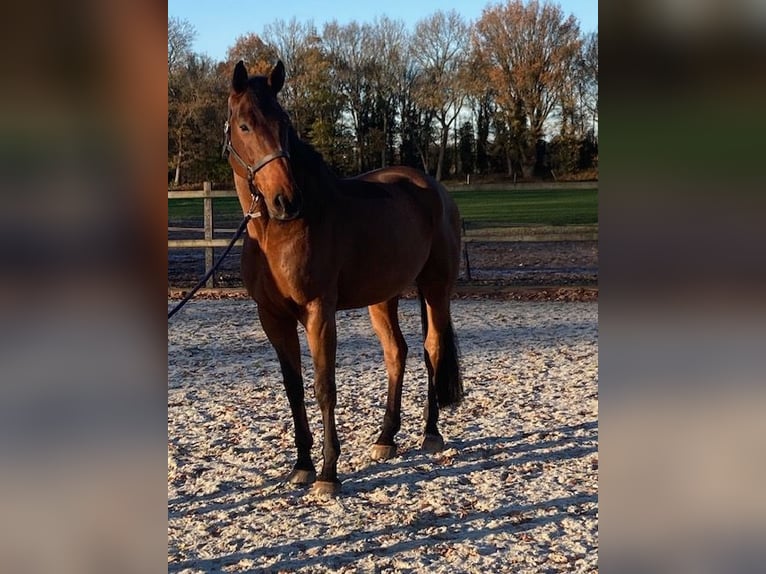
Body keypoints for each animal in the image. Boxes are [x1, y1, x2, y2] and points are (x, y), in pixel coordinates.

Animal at [224, 60, 463, 494]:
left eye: (284, 123)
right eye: (245, 125)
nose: (286, 200)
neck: (277, 232)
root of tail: (434, 188)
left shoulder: (319, 313)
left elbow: (324, 388)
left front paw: (328, 473)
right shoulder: (273, 318)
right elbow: (294, 389)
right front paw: (302, 465)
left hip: (436, 289)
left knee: (433, 348)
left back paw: (431, 433)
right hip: (382, 297)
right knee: (397, 352)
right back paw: (386, 437)